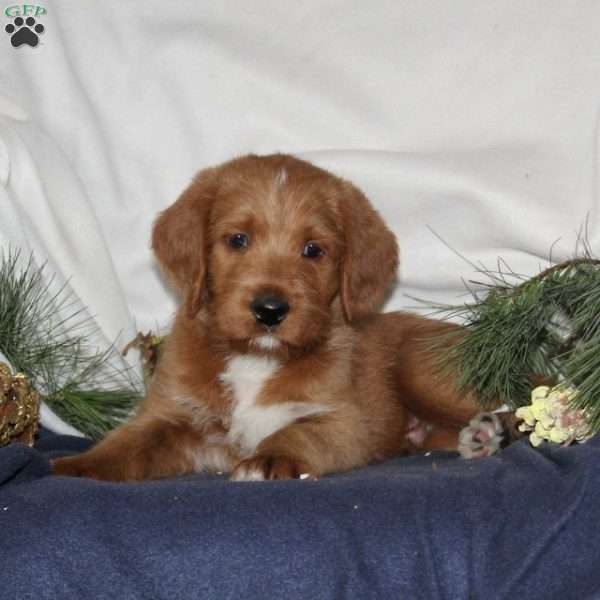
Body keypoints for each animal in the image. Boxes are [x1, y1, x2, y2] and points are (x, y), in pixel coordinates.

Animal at [52, 155, 482, 482]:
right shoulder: (171, 413)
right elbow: (127, 443)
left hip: (420, 369)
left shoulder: (347, 421)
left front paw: (270, 458)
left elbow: (299, 432)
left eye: (313, 249)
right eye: (238, 240)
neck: (256, 357)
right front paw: (76, 467)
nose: (270, 310)